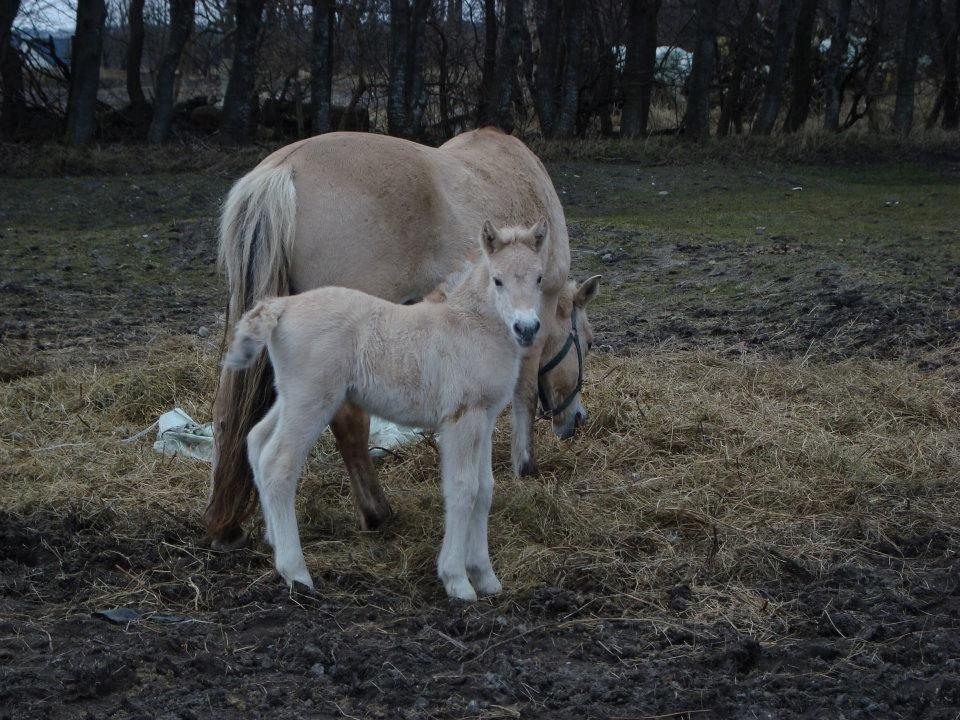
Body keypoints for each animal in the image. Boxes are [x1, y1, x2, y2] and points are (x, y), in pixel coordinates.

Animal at [208, 129, 576, 544]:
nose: (574, 422)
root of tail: (283, 168)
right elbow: (524, 393)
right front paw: (525, 465)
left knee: (227, 415)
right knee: (349, 420)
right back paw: (377, 512)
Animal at [224, 221, 548, 600]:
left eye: (539, 277)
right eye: (497, 280)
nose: (526, 328)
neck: (469, 325)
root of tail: (282, 305)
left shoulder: (484, 416)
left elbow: (484, 489)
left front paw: (486, 577)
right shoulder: (461, 417)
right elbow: (463, 488)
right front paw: (457, 580)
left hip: (292, 396)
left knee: (257, 442)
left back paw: (275, 545)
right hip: (312, 399)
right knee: (278, 463)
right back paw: (296, 573)